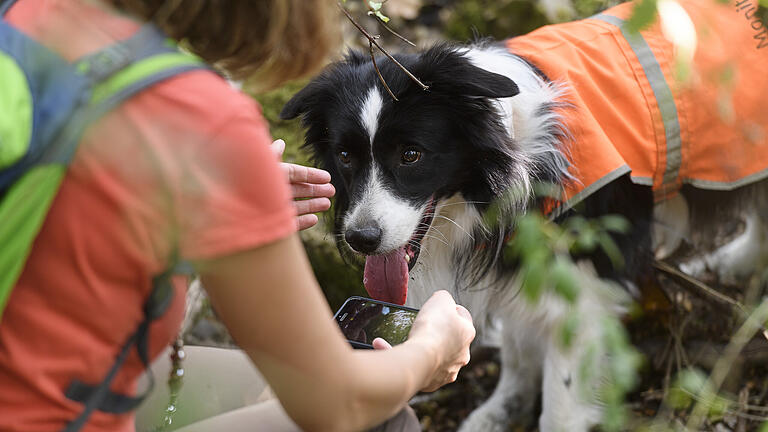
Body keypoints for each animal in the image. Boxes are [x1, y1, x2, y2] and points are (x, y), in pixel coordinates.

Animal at [280, 18, 768, 430]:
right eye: (345, 156)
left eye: (411, 154)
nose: (361, 239)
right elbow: (517, 348)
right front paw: (500, 411)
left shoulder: (586, 284)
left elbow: (562, 396)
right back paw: (736, 261)